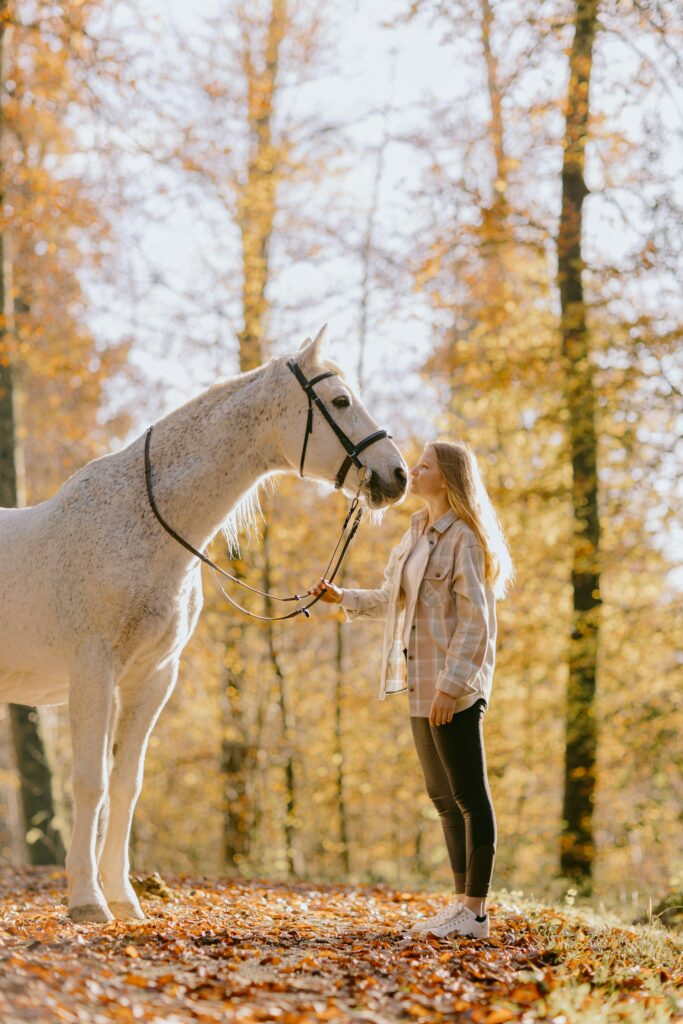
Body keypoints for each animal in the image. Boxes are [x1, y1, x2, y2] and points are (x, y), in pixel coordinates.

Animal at [0, 331, 405, 925]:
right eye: (340, 402)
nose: (398, 476)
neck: (139, 524)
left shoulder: (152, 678)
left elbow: (125, 786)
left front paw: (122, 899)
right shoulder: (92, 670)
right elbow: (91, 782)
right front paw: (87, 900)